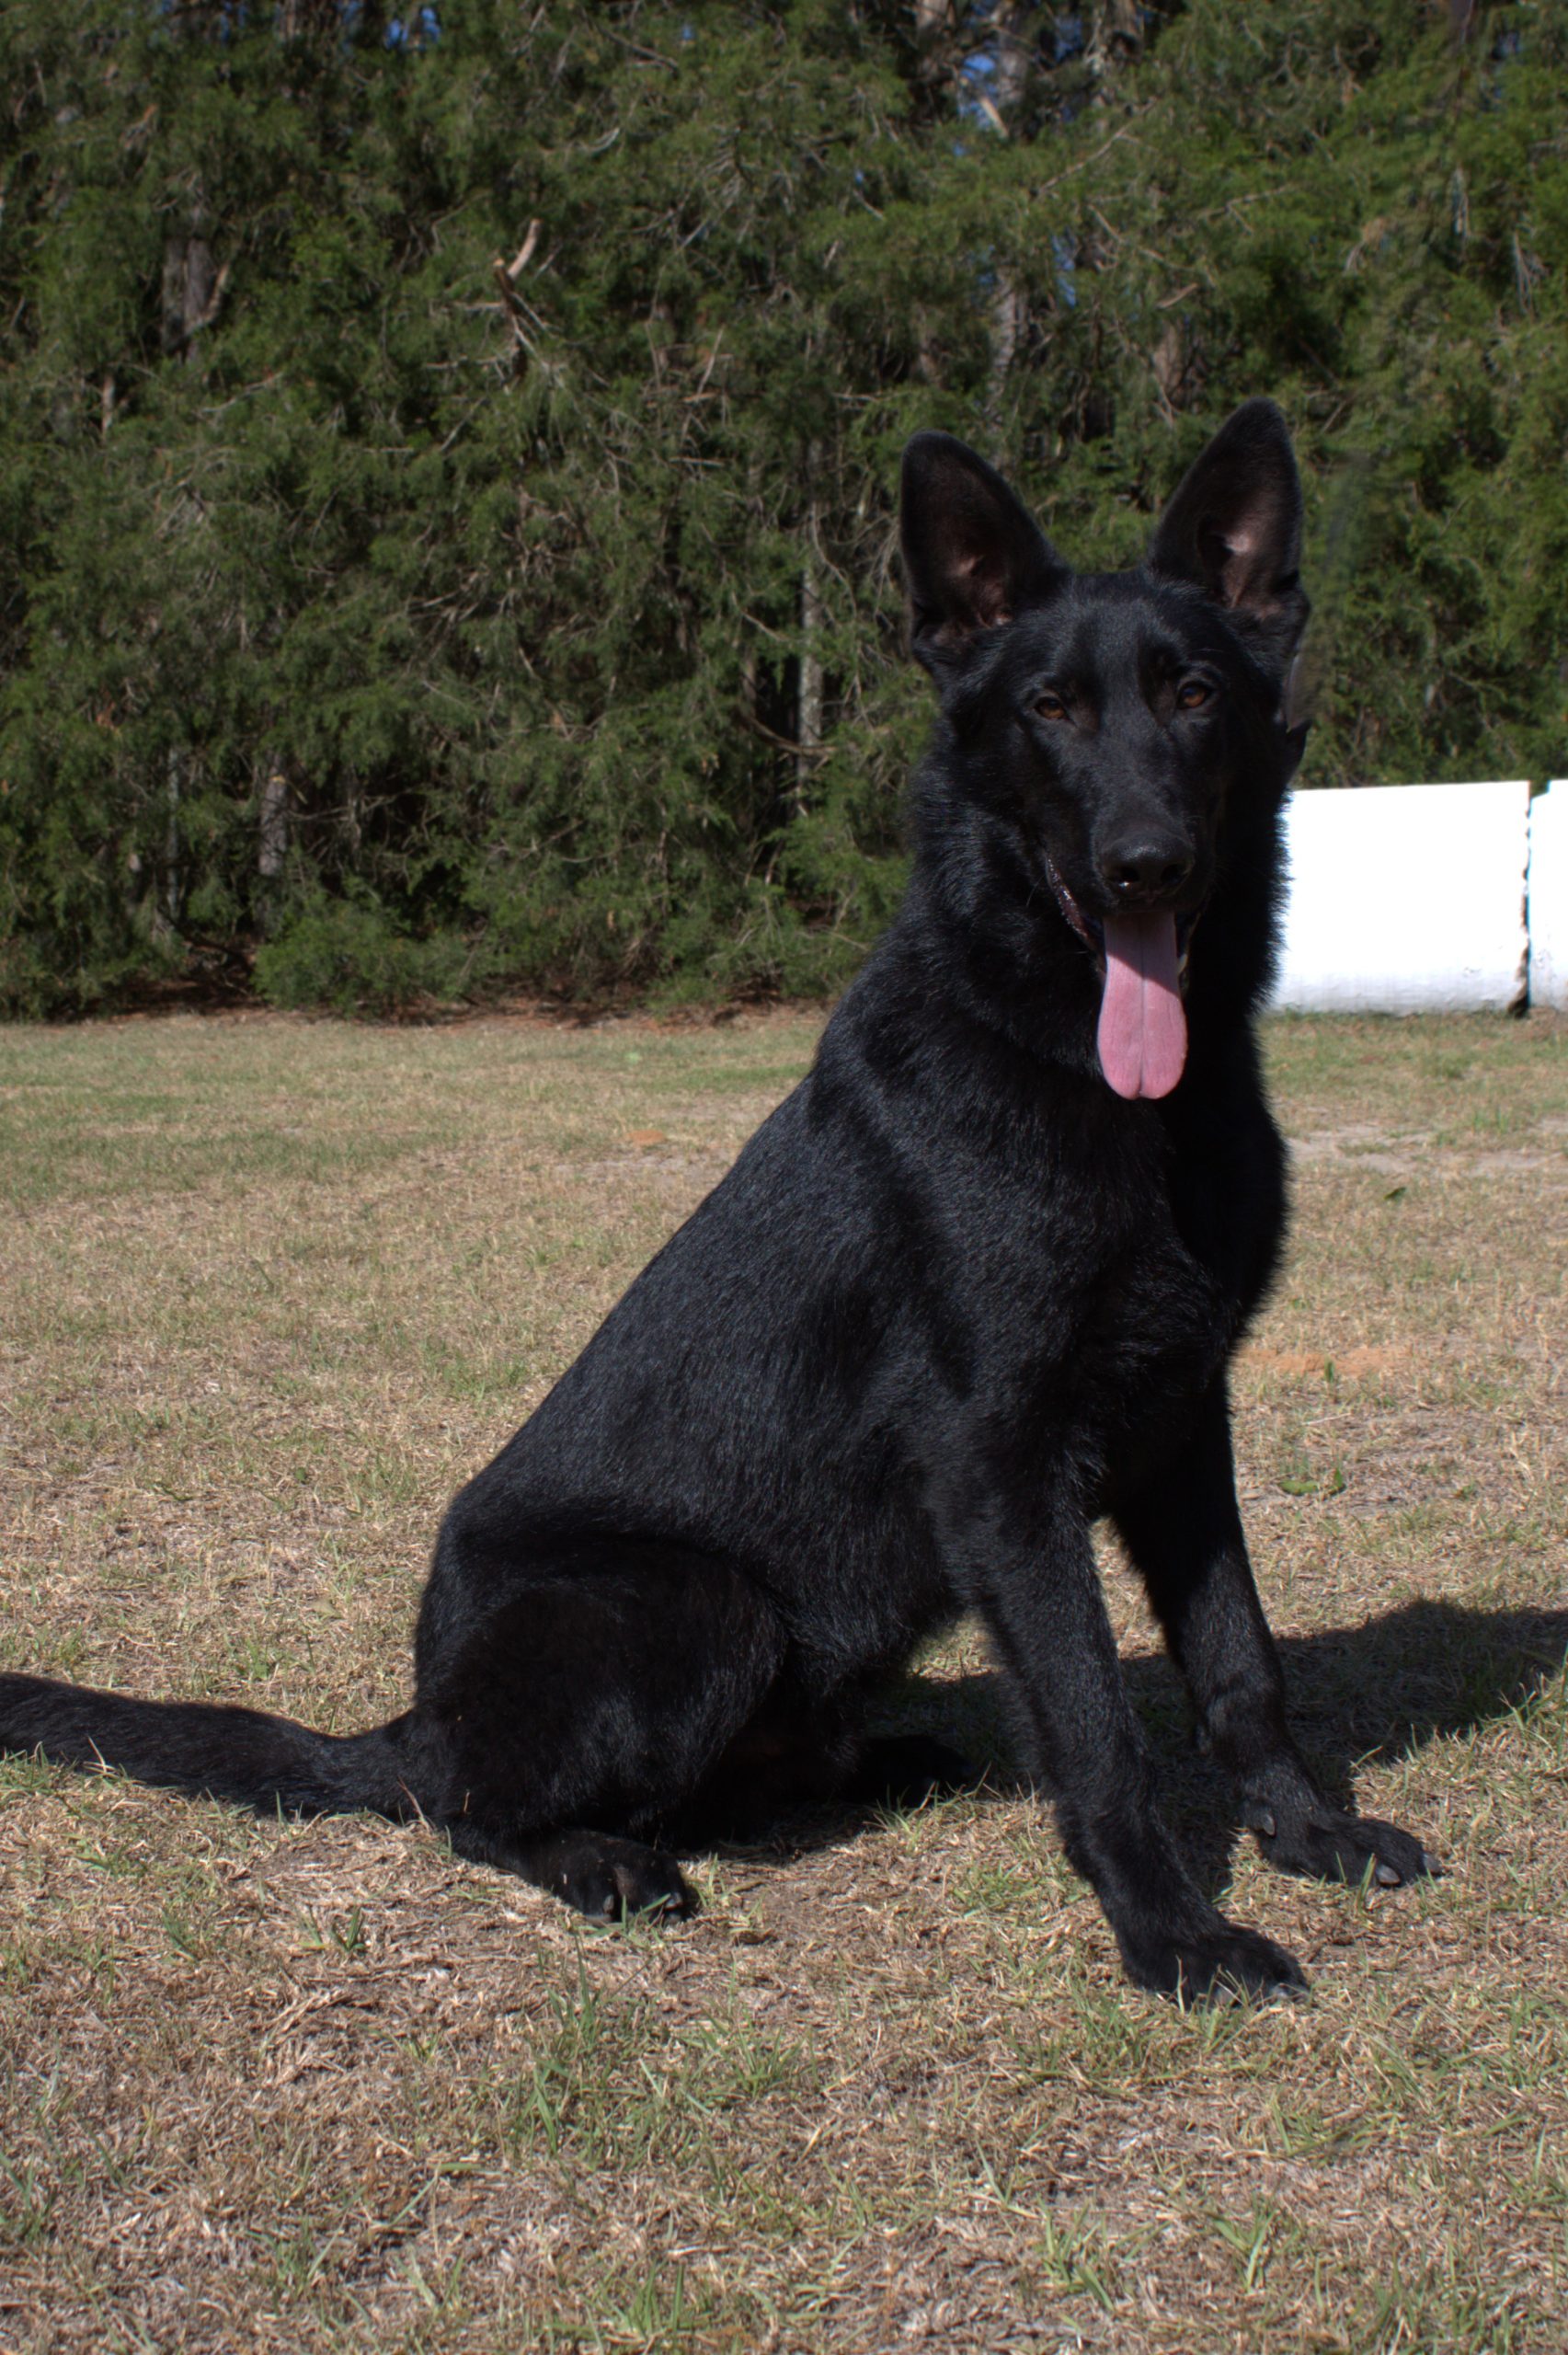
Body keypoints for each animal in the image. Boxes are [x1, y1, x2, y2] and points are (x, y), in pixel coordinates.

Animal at [1, 400, 1438, 2001]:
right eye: (1051, 710)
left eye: (1192, 694)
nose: (1144, 865)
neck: (1095, 1081)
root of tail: (415, 1716)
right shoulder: (1003, 1467)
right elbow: (1094, 1724)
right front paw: (1172, 1933)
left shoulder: (1182, 1424)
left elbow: (1240, 1660)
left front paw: (1306, 1834)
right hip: (699, 1606)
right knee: (469, 1809)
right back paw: (597, 1859)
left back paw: (880, 1765)